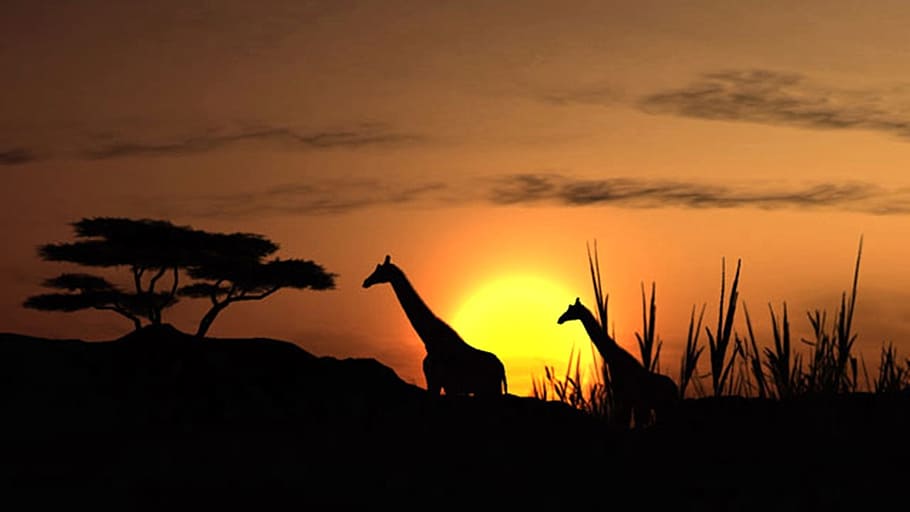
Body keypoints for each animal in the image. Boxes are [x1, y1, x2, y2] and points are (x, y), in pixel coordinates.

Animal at [362, 255, 508, 397]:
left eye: (380, 270)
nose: (365, 282)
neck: (429, 340)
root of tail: (501, 367)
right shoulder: (436, 382)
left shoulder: (444, 383)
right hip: (484, 389)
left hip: (490, 388)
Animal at [557, 297, 678, 428]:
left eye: (571, 309)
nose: (559, 319)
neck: (615, 361)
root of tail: (675, 388)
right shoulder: (627, 399)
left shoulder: (625, 397)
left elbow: (625, 421)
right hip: (660, 408)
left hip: (663, 407)